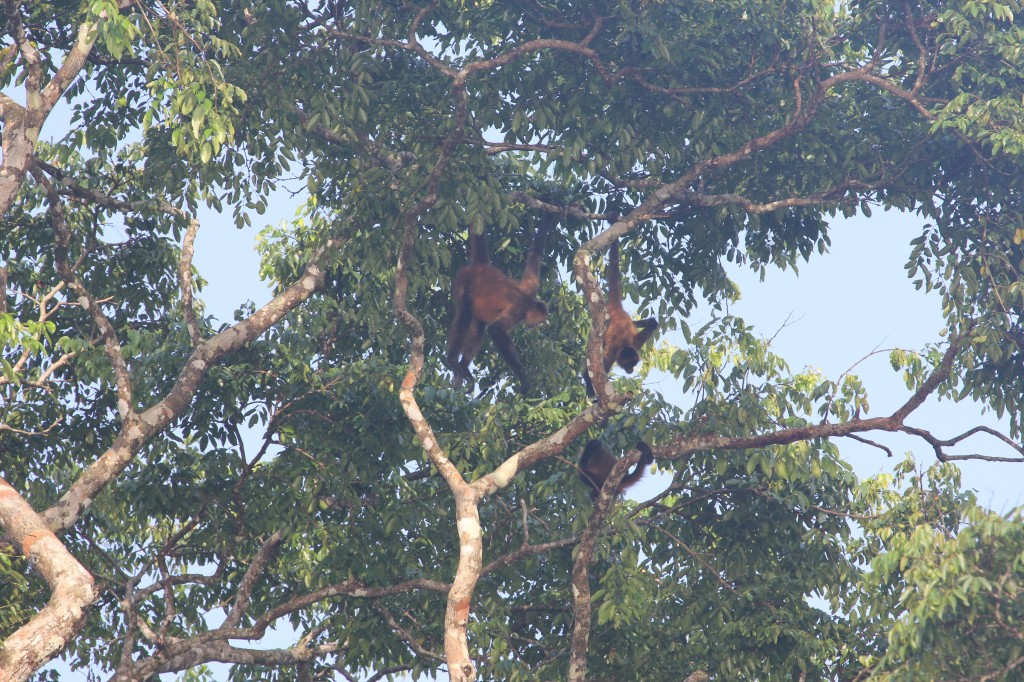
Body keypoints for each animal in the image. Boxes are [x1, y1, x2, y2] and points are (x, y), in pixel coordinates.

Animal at [444, 215, 548, 391]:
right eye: (540, 320)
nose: (537, 326)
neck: (527, 302)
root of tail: (481, 267)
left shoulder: (531, 286)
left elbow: (535, 256)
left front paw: (550, 219)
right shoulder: (518, 308)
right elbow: (496, 330)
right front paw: (524, 379)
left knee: (479, 325)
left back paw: (464, 366)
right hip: (464, 282)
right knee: (464, 315)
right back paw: (452, 360)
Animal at [585, 237, 663, 393]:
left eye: (633, 365)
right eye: (627, 365)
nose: (630, 371)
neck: (625, 343)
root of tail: (616, 308)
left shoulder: (635, 344)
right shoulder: (612, 352)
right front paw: (589, 386)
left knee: (652, 323)